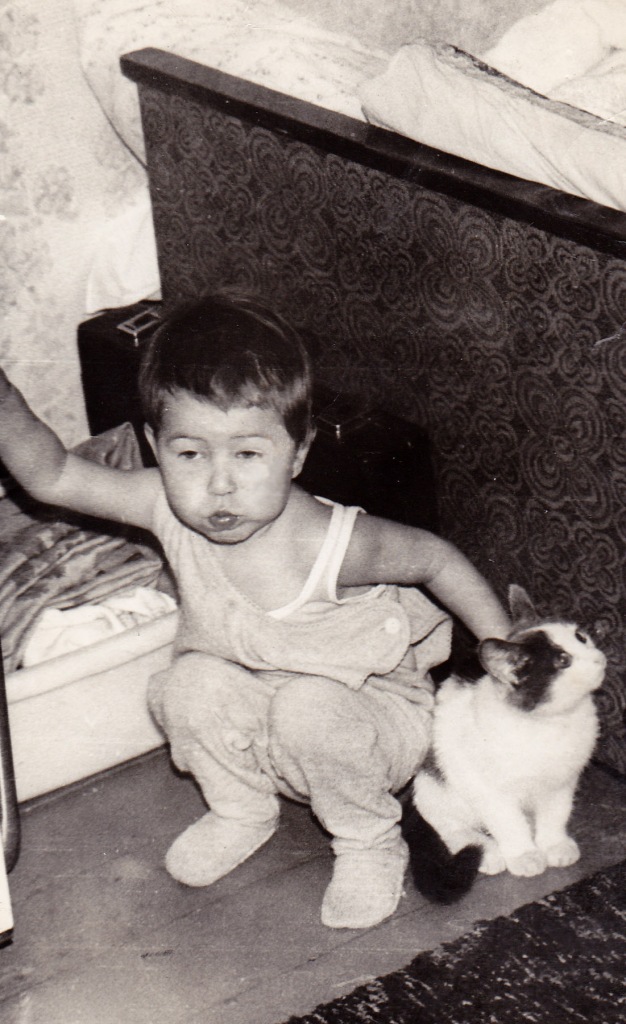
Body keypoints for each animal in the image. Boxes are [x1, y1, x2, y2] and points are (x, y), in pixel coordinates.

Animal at [403, 584, 606, 905]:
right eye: (563, 660)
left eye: (581, 638)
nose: (598, 659)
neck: (550, 725)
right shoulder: (488, 787)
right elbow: (507, 821)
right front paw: (524, 854)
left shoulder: (563, 779)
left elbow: (556, 811)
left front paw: (553, 844)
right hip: (439, 780)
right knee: (447, 823)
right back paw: (487, 850)